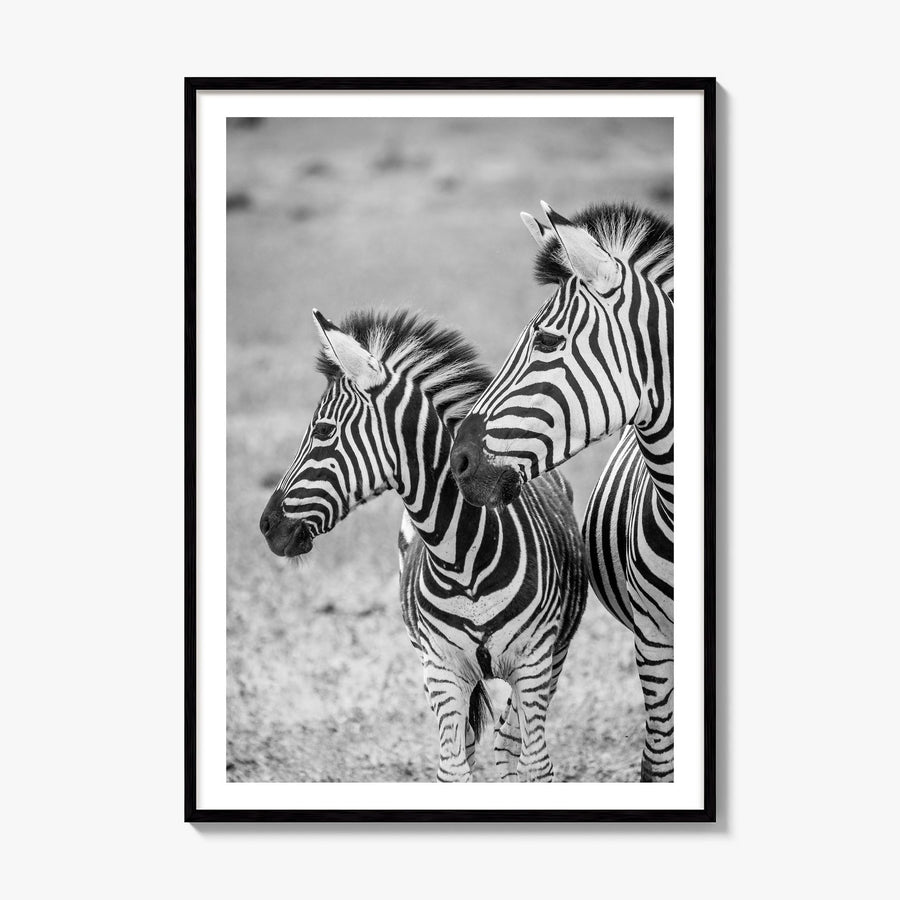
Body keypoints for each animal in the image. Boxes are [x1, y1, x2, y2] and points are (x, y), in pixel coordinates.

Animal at [259, 308, 588, 782]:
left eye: (322, 431)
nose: (266, 525)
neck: (464, 559)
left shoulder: (534, 664)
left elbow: (537, 765)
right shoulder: (442, 671)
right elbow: (453, 769)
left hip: (552, 659)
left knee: (510, 743)